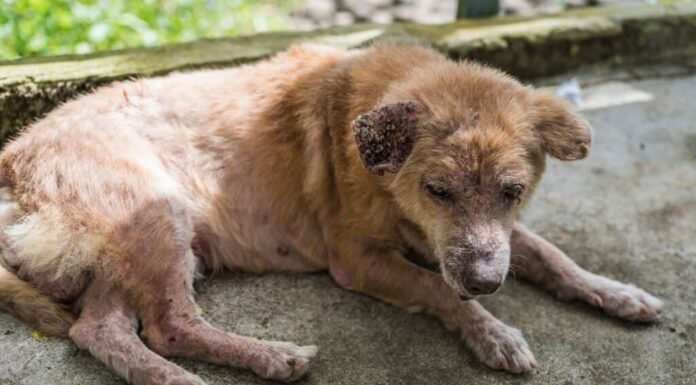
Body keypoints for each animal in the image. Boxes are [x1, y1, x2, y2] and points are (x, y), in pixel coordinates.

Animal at [0, 43, 664, 382]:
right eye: (438, 190)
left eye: (513, 191)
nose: (486, 283)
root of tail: (11, 157)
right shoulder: (358, 260)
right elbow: (439, 289)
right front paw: (493, 332)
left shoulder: (488, 240)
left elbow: (552, 255)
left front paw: (617, 292)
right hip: (156, 214)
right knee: (169, 326)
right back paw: (267, 359)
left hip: (124, 250)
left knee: (101, 331)